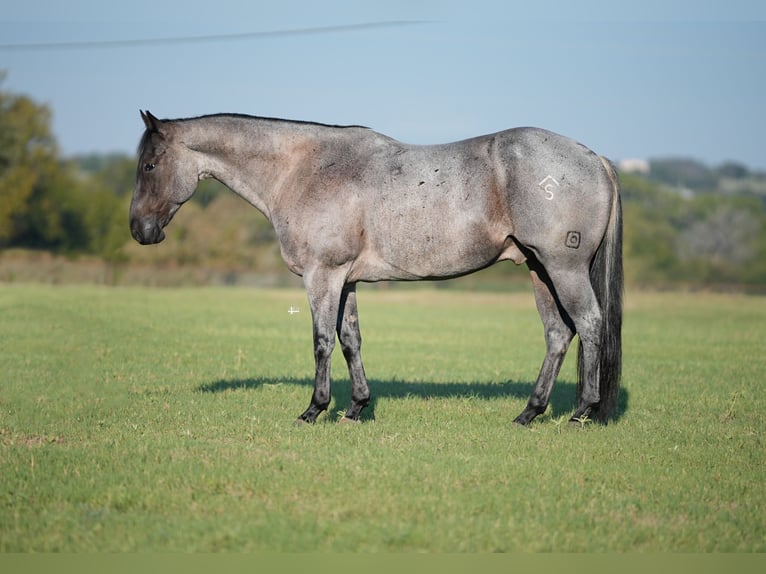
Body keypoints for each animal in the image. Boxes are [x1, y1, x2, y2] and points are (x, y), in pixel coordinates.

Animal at [130, 112, 624, 428]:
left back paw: (582, 411)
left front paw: (314, 410)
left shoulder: (322, 275)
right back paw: (528, 413)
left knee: (590, 325)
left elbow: (322, 342)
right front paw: (355, 409)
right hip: (539, 270)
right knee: (559, 335)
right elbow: (351, 340)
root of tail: (594, 157)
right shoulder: (345, 280)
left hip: (564, 268)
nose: (139, 230)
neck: (304, 168)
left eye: (149, 164)